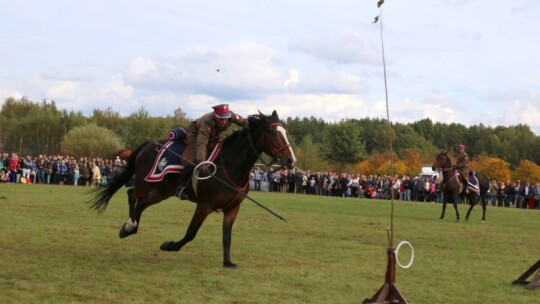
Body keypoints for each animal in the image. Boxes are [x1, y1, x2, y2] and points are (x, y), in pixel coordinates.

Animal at [90, 110, 298, 268]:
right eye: (273, 133)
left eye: (285, 132)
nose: (291, 160)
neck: (230, 165)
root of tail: (149, 144)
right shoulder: (204, 205)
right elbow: (191, 233)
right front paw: (169, 245)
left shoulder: (232, 208)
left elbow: (227, 237)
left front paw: (228, 262)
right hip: (145, 183)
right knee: (131, 194)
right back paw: (130, 225)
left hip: (162, 191)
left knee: (141, 204)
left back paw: (128, 229)